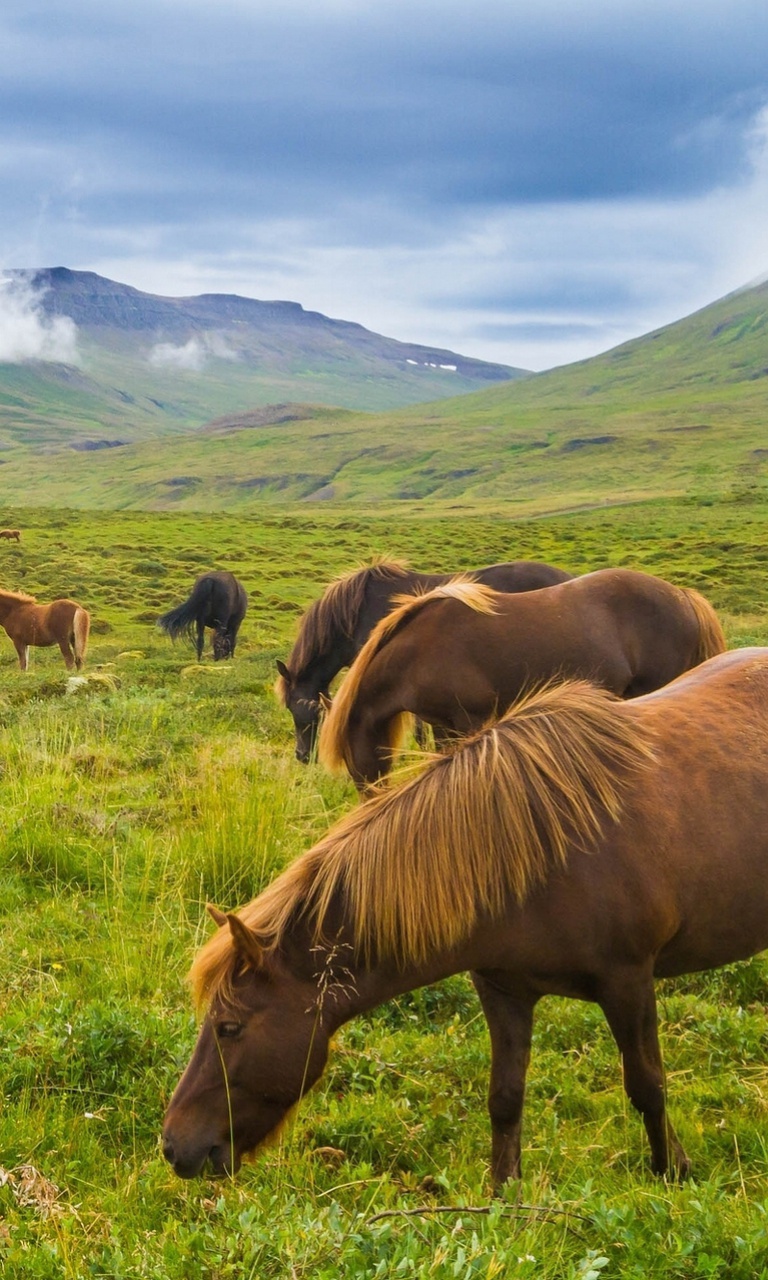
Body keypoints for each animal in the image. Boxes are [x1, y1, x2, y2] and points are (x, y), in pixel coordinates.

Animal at [163, 655, 768, 1182]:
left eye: (229, 1027)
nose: (174, 1146)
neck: (540, 850)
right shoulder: (502, 989)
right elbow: (505, 1097)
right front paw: (504, 1193)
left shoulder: (629, 983)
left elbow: (647, 1085)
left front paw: (672, 1170)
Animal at [317, 570, 727, 788]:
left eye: (349, 757)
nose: (368, 797)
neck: (419, 649)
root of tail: (683, 596)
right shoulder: (443, 726)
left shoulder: (471, 720)